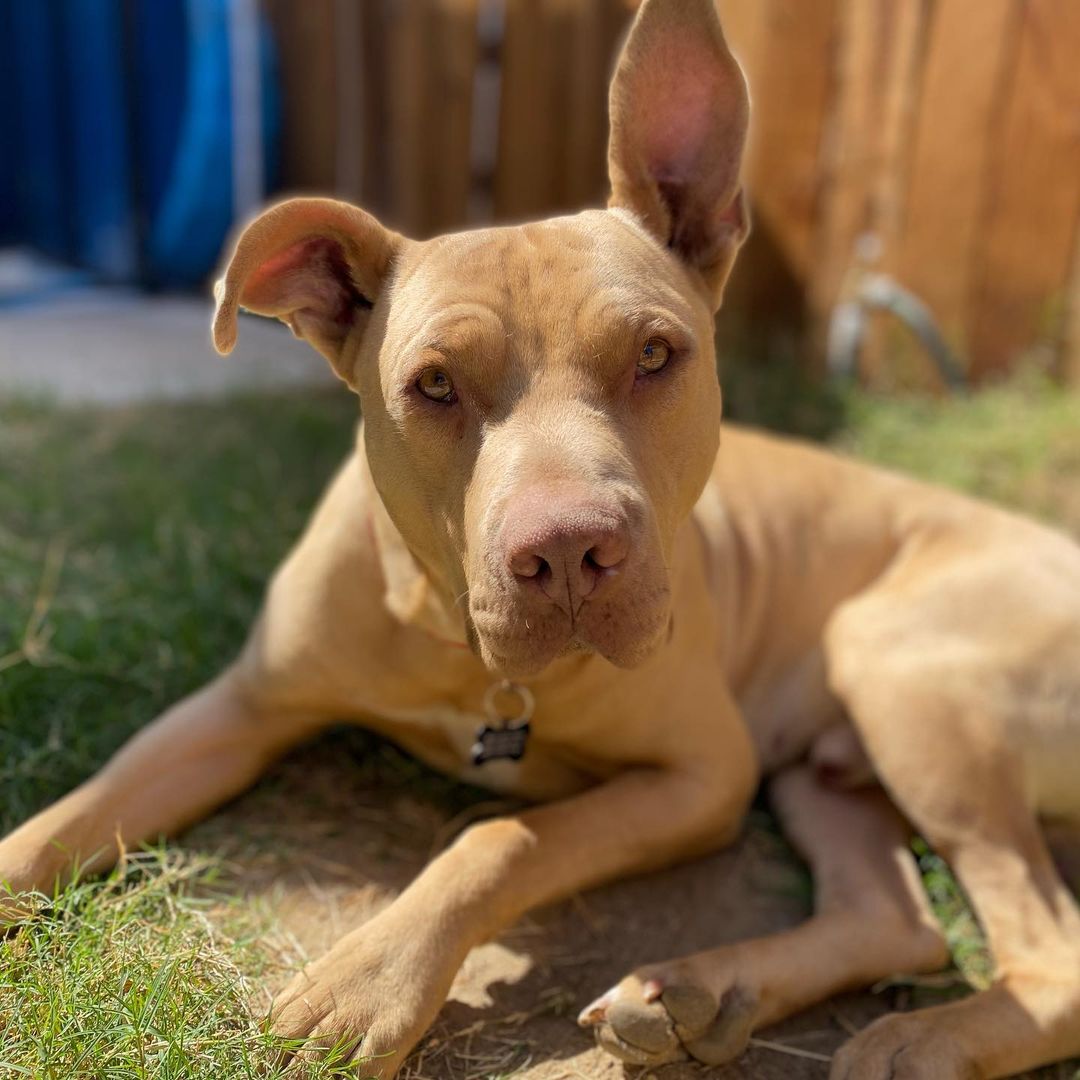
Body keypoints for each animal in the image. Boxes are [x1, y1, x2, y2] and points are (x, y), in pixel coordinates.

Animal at [2, 0, 1080, 1075]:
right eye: (433, 383)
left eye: (656, 354)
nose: (566, 553)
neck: (458, 643)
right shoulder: (240, 706)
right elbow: (62, 821)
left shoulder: (701, 776)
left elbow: (507, 841)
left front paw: (368, 983)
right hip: (826, 772)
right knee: (895, 920)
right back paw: (700, 993)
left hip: (898, 668)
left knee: (1048, 956)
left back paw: (913, 1041)